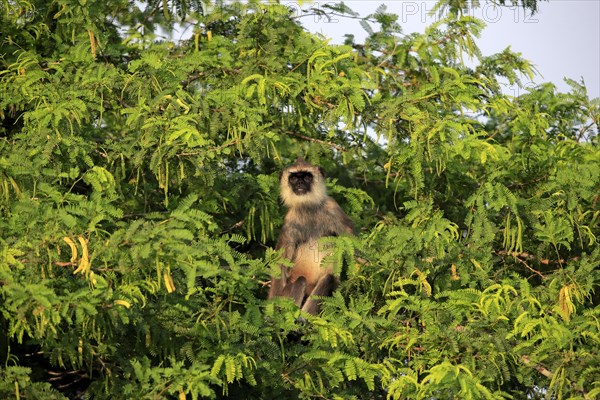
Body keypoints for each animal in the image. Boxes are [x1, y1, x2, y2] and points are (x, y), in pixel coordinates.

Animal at [266, 158, 352, 314]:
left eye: (307, 177)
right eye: (294, 178)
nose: (300, 183)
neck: (307, 207)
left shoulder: (332, 207)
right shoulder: (289, 222)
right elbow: (281, 265)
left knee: (329, 280)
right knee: (300, 281)